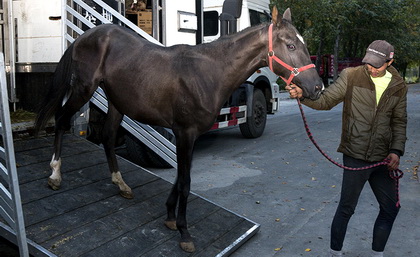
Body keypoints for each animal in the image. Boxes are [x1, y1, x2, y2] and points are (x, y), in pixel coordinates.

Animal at [36, 7, 324, 251]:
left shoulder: (191, 135)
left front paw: (170, 217)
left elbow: (181, 176)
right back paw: (55, 175)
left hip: (117, 101)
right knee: (61, 120)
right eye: (290, 45)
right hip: (83, 89)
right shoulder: (185, 132)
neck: (208, 72)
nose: (317, 87)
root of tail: (85, 36)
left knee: (107, 138)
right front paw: (184, 232)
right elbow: (185, 182)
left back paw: (121, 184)